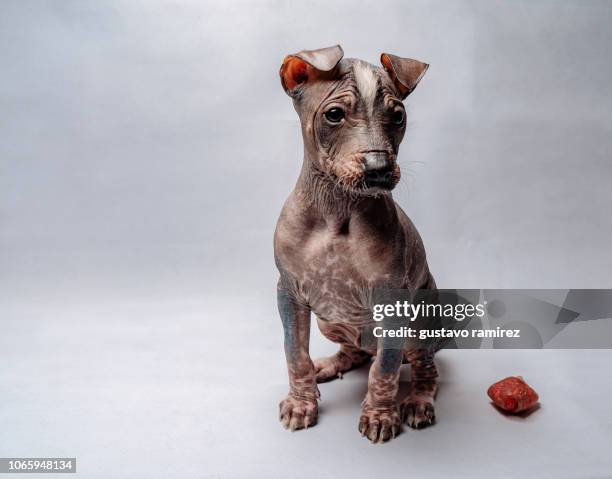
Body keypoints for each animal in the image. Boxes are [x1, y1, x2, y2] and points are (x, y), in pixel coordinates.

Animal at [274, 45, 438, 442]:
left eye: (398, 116)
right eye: (334, 115)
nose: (379, 168)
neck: (336, 210)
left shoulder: (392, 303)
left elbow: (385, 369)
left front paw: (379, 416)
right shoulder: (289, 293)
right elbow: (294, 353)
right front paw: (301, 403)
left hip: (418, 328)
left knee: (422, 368)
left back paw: (418, 401)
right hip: (329, 322)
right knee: (357, 352)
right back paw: (329, 365)